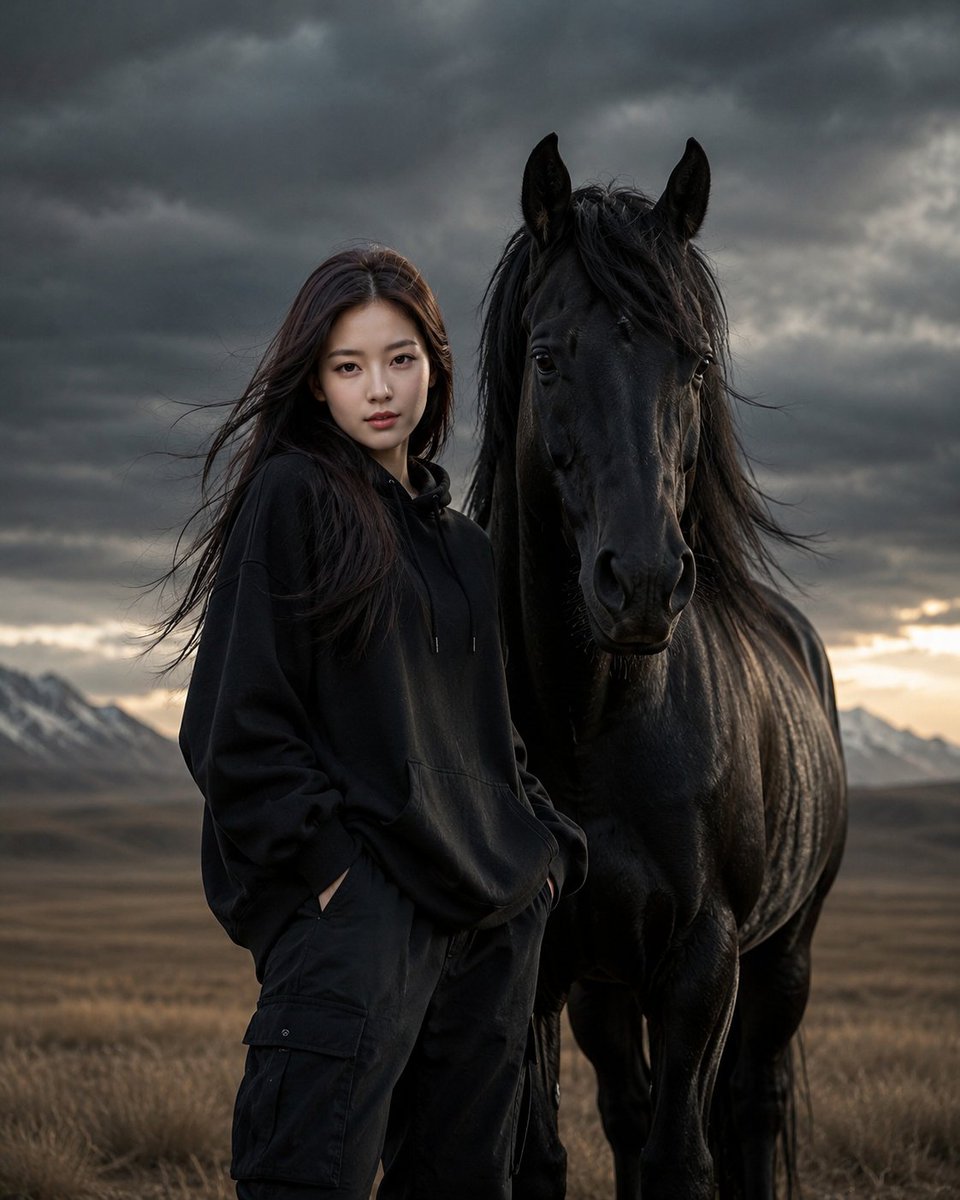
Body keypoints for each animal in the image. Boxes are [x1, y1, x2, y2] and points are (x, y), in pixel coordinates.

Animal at [467, 134, 847, 1200]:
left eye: (697, 362)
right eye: (548, 357)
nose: (639, 583)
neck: (594, 725)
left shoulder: (702, 964)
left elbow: (687, 1159)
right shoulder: (546, 964)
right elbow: (545, 1158)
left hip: (783, 958)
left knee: (752, 1109)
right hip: (606, 986)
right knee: (628, 1114)